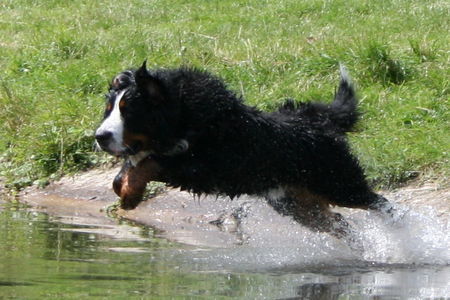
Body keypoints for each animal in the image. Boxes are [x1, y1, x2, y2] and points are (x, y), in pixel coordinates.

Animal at [95, 62, 390, 238]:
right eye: (109, 110)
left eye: (130, 112)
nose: (99, 136)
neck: (185, 117)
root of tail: (319, 120)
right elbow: (127, 171)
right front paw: (127, 192)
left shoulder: (205, 164)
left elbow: (151, 163)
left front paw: (130, 190)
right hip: (294, 202)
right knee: (339, 222)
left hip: (339, 183)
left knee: (380, 204)